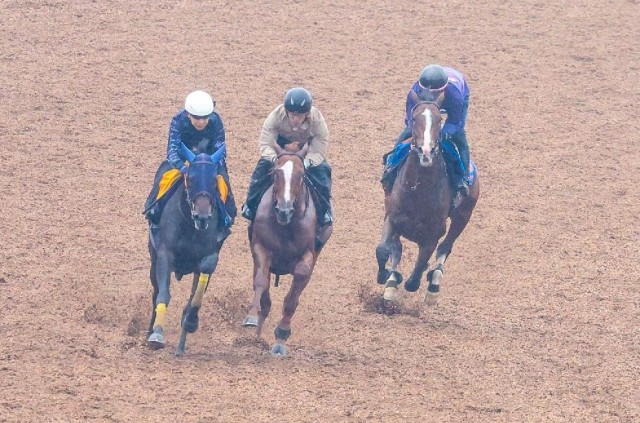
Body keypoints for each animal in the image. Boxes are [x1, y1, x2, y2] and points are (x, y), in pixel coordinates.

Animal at [146, 144, 229, 356]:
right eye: (190, 178)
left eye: (214, 180)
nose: (202, 216)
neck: (190, 226)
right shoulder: (165, 254)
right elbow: (163, 293)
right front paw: (156, 334)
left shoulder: (209, 256)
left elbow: (195, 296)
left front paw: (190, 320)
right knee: (155, 291)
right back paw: (150, 330)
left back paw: (181, 346)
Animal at [240, 142, 330, 358]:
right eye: (275, 173)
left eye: (301, 174)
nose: (284, 210)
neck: (286, 226)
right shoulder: (260, 248)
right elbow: (260, 281)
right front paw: (251, 317)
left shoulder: (308, 257)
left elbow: (292, 298)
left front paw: (281, 338)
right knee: (265, 297)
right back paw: (257, 334)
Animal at [376, 93, 480, 304]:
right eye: (415, 118)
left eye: (440, 120)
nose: (426, 151)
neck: (419, 192)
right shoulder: (392, 217)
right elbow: (384, 249)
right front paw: (386, 278)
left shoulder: (434, 234)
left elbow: (415, 276)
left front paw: (417, 279)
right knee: (397, 249)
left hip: (463, 215)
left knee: (445, 248)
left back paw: (434, 284)